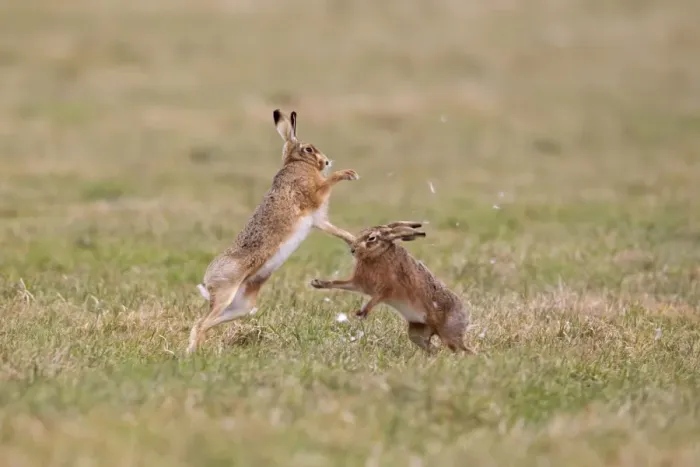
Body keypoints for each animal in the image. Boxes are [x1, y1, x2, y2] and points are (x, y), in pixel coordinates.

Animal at [187, 109, 360, 354]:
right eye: (308, 149)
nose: (326, 161)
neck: (297, 163)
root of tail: (207, 280)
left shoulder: (316, 219)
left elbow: (337, 231)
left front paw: (356, 242)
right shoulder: (313, 194)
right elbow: (328, 182)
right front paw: (349, 173)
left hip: (242, 306)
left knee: (205, 322)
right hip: (226, 292)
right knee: (201, 323)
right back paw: (195, 353)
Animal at [310, 221, 473, 354]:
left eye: (371, 238)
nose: (353, 250)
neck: (378, 255)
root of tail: (464, 317)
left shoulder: (388, 288)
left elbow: (376, 299)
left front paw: (362, 312)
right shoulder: (358, 283)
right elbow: (340, 283)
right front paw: (318, 283)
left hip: (448, 332)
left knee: (462, 349)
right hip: (417, 332)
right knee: (432, 347)